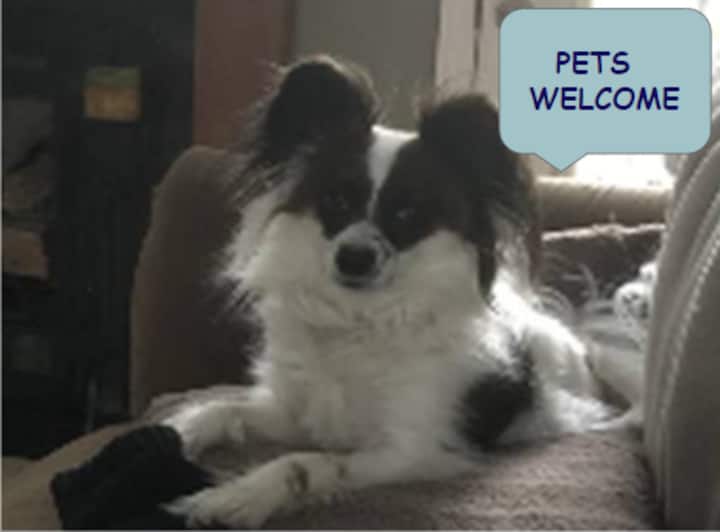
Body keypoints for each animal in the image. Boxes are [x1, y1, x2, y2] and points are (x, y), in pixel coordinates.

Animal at [165, 56, 633, 528]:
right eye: (336, 201)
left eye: (407, 214)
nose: (354, 257)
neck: (360, 320)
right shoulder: (298, 414)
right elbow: (224, 408)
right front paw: (179, 432)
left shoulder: (412, 452)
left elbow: (305, 462)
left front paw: (237, 496)